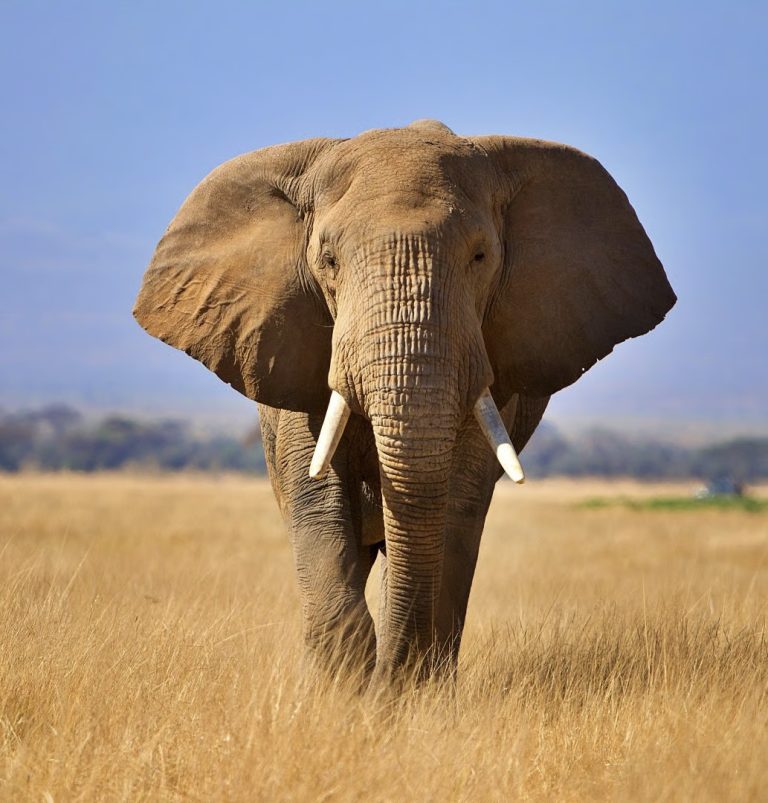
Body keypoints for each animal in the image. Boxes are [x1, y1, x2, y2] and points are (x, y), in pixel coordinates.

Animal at [134, 120, 675, 684]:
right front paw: (339, 690)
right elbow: (318, 496)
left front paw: (410, 692)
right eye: (328, 260)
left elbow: (455, 503)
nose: (386, 683)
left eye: (480, 257)